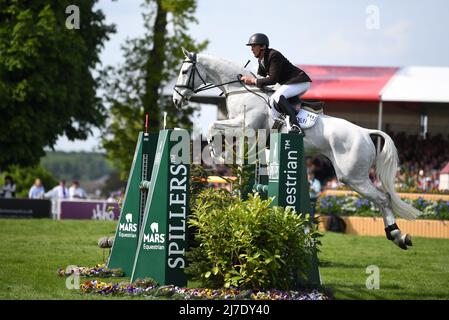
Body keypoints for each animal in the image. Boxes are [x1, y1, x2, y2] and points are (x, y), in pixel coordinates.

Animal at [172, 48, 420, 250]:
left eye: (184, 71)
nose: (175, 100)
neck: (239, 91)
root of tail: (366, 133)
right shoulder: (244, 131)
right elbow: (219, 132)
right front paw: (224, 156)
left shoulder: (246, 126)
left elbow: (213, 127)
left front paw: (219, 156)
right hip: (354, 176)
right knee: (382, 199)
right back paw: (396, 235)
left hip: (352, 176)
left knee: (383, 199)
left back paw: (398, 236)